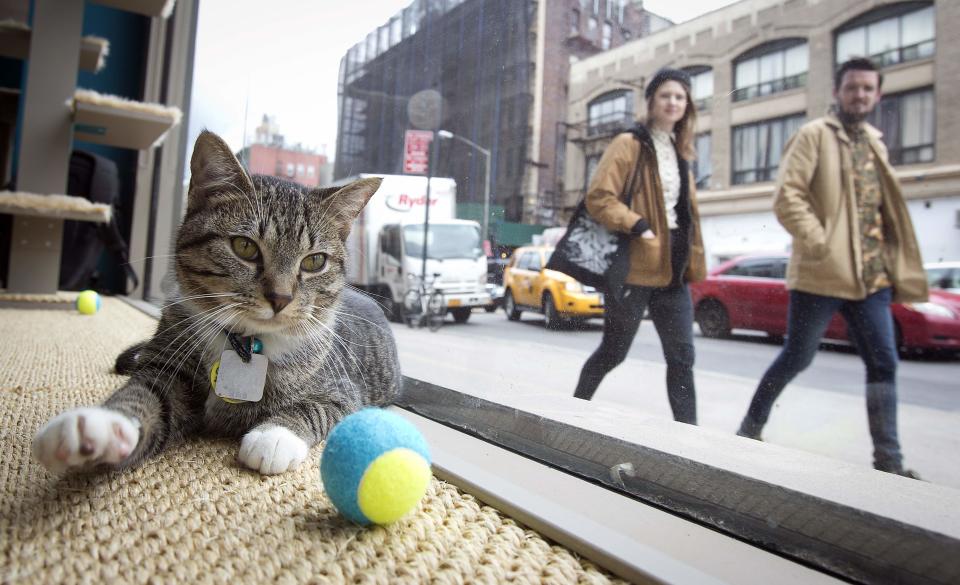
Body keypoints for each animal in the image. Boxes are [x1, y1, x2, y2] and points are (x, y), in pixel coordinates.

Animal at [32, 129, 402, 474]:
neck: (247, 343)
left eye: (314, 261)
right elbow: (145, 395)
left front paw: (275, 436)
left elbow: (316, 407)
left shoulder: (344, 391)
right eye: (245, 247)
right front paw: (99, 427)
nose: (280, 298)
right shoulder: (168, 367)